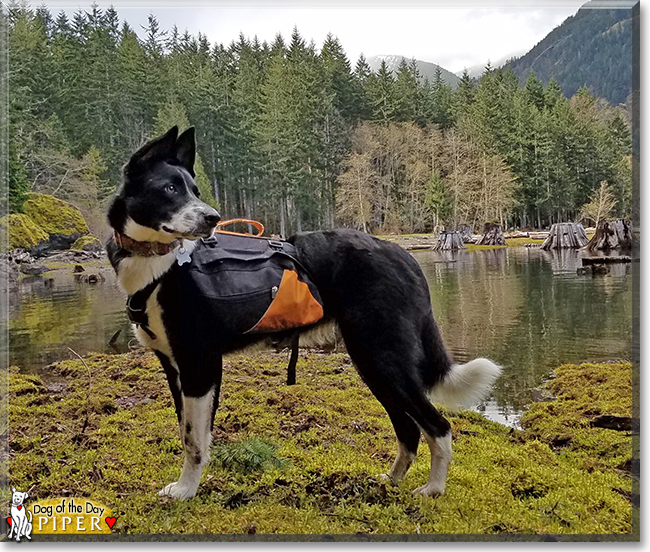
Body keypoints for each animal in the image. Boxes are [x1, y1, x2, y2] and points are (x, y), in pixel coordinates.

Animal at [106, 127, 502, 502]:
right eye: (171, 188)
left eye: (193, 190)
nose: (212, 218)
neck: (159, 264)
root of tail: (404, 256)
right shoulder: (176, 367)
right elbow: (191, 433)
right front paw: (190, 485)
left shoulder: (198, 366)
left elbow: (193, 440)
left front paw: (186, 491)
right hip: (374, 364)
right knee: (408, 429)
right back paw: (390, 481)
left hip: (384, 359)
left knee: (438, 426)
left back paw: (434, 489)